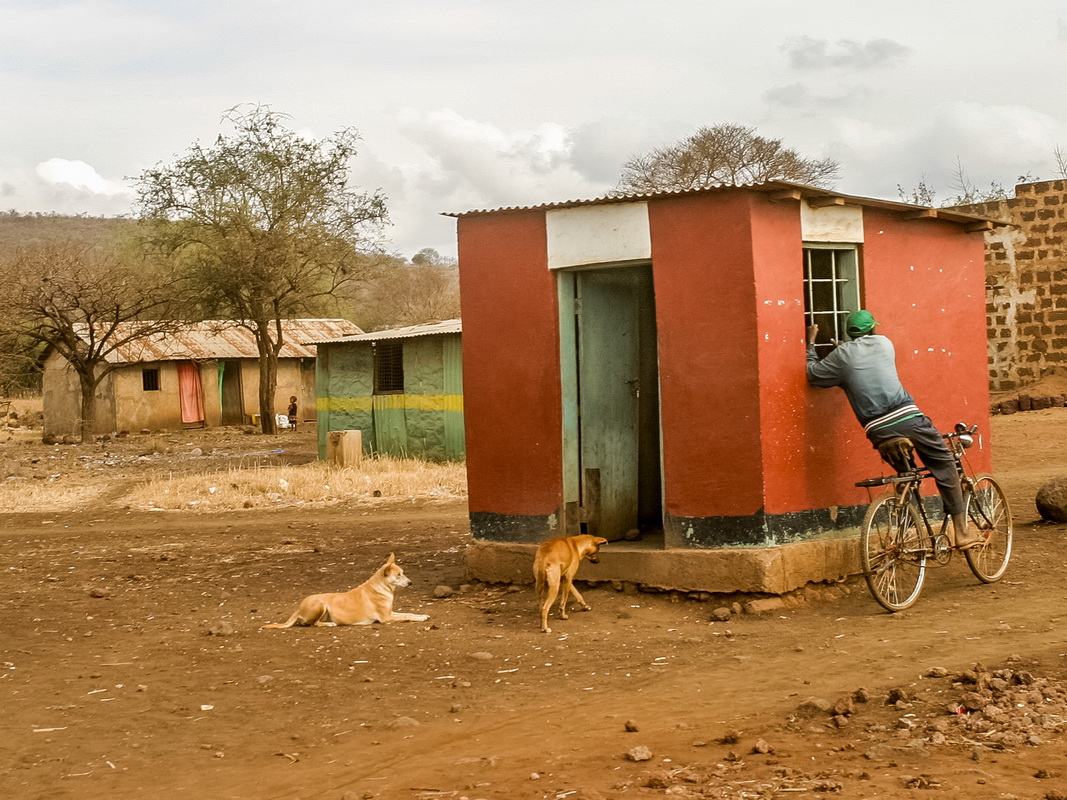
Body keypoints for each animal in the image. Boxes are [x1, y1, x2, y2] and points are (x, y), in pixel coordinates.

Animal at [260, 554, 426, 631]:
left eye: (402, 573)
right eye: (398, 575)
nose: (410, 582)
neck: (381, 587)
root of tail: (298, 607)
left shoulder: (390, 612)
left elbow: (409, 613)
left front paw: (421, 614)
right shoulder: (387, 618)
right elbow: (407, 616)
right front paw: (422, 618)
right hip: (321, 604)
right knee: (313, 624)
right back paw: (330, 624)